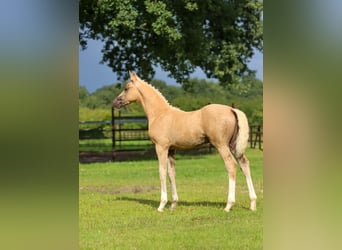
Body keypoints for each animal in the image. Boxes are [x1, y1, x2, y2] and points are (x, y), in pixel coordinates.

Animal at [112, 71, 256, 212]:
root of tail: (232, 109)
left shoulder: (161, 147)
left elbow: (162, 172)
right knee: (244, 165)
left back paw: (228, 205)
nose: (115, 103)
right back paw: (252, 204)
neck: (160, 114)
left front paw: (161, 205)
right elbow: (171, 173)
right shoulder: (171, 149)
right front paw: (173, 204)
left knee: (231, 165)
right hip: (234, 146)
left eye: (126, 88)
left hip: (221, 145)